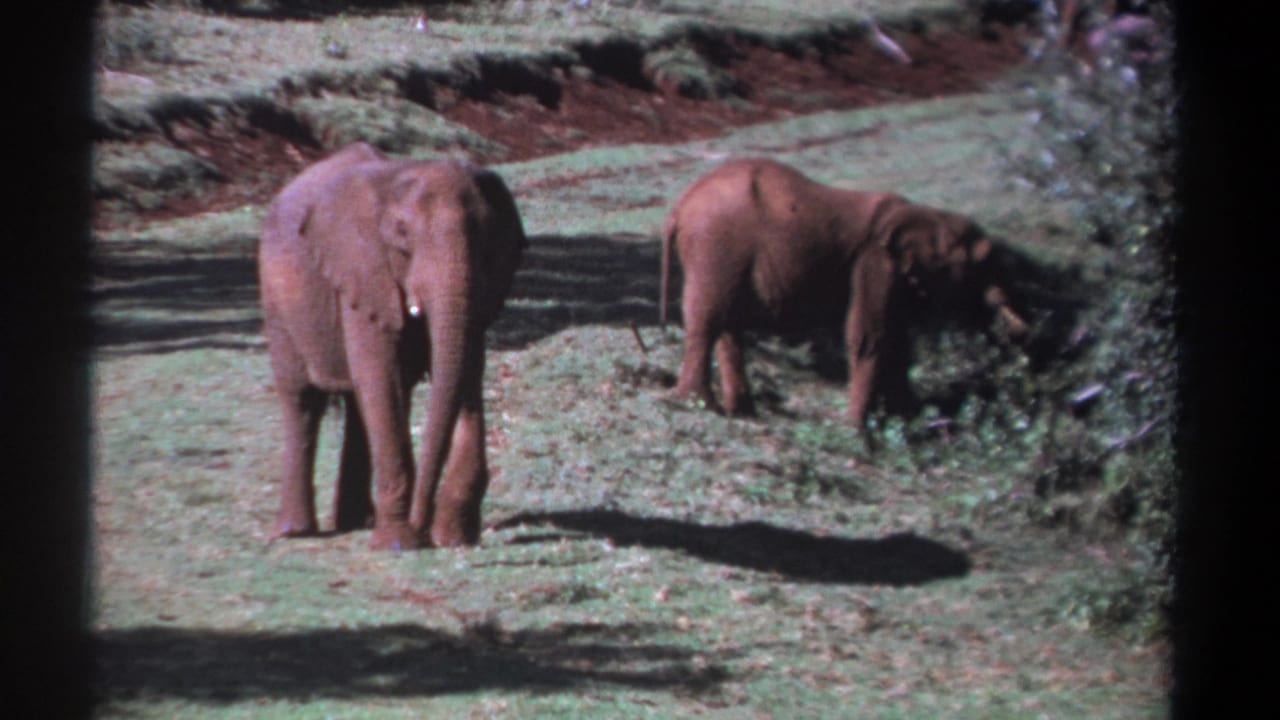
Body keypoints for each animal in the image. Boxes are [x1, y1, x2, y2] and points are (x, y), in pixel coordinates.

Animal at [258, 142, 526, 550]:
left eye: (487, 237)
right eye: (401, 234)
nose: (423, 523)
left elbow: (466, 369)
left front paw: (453, 537)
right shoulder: (361, 271)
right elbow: (380, 376)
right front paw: (400, 543)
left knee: (358, 404)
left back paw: (357, 521)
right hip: (278, 305)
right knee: (303, 400)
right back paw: (294, 532)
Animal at [659, 157, 1027, 428]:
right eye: (981, 262)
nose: (1015, 331)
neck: (926, 215)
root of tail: (680, 207)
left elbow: (898, 340)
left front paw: (905, 421)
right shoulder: (874, 263)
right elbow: (870, 335)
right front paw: (857, 428)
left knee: (727, 324)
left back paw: (742, 412)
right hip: (716, 246)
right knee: (708, 319)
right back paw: (697, 404)